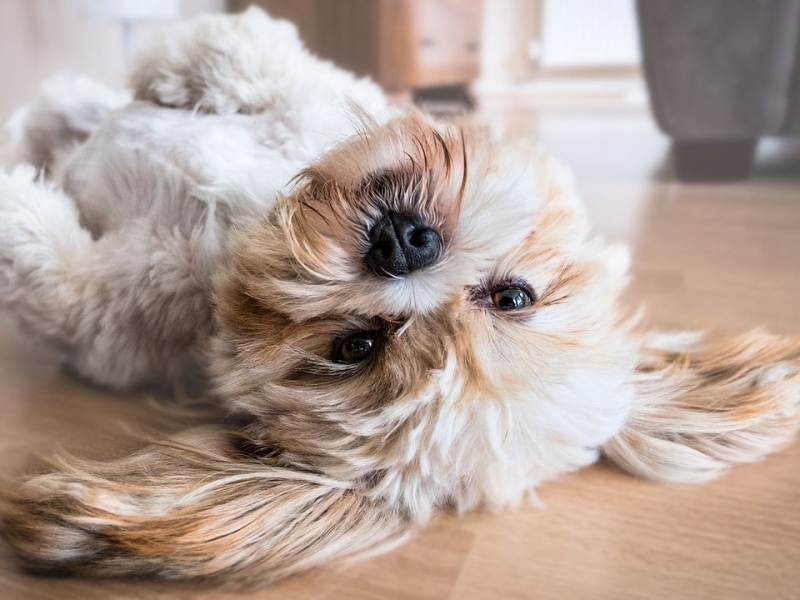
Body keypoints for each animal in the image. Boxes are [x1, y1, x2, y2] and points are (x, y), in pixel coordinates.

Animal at [1, 8, 800, 584]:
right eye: (514, 297)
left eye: (354, 345)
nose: (403, 244)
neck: (240, 224)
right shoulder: (312, 97)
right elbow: (258, 58)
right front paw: (185, 65)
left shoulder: (109, 321)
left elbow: (49, 269)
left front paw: (17, 205)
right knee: (55, 110)